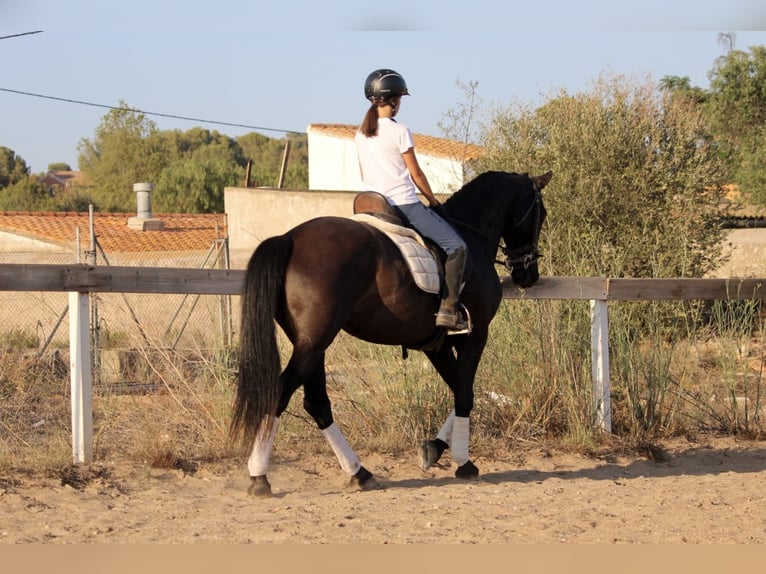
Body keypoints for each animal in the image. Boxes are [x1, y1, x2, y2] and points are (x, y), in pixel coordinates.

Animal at [230, 169, 552, 498]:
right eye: (541, 215)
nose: (527, 274)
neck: (470, 236)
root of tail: (290, 238)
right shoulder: (475, 336)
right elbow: (465, 394)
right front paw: (463, 463)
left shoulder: (436, 346)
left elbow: (463, 389)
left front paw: (434, 449)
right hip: (313, 343)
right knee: (281, 393)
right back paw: (260, 477)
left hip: (311, 344)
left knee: (317, 403)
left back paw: (359, 474)